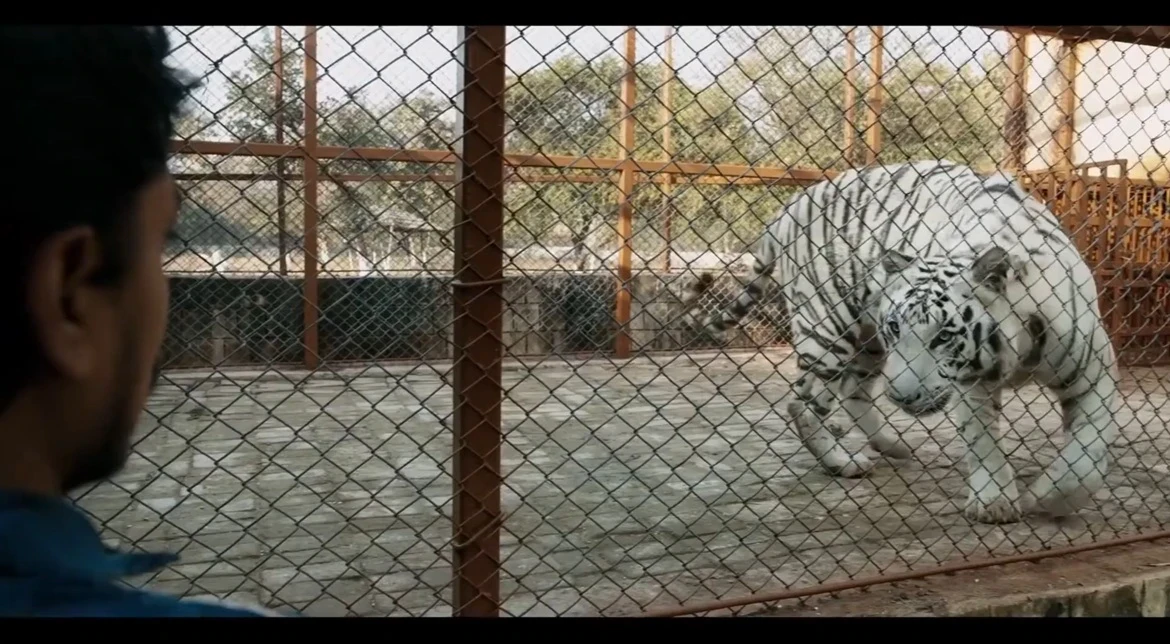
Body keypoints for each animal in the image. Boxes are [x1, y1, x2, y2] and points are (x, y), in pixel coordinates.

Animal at [679, 159, 1119, 525]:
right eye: (897, 328)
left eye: (943, 336)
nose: (902, 398)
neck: (1019, 352)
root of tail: (792, 205)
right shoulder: (969, 384)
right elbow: (983, 443)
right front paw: (996, 502)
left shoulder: (1094, 373)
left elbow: (1088, 457)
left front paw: (1049, 497)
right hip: (830, 327)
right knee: (803, 403)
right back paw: (843, 462)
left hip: (867, 344)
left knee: (855, 390)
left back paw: (890, 445)